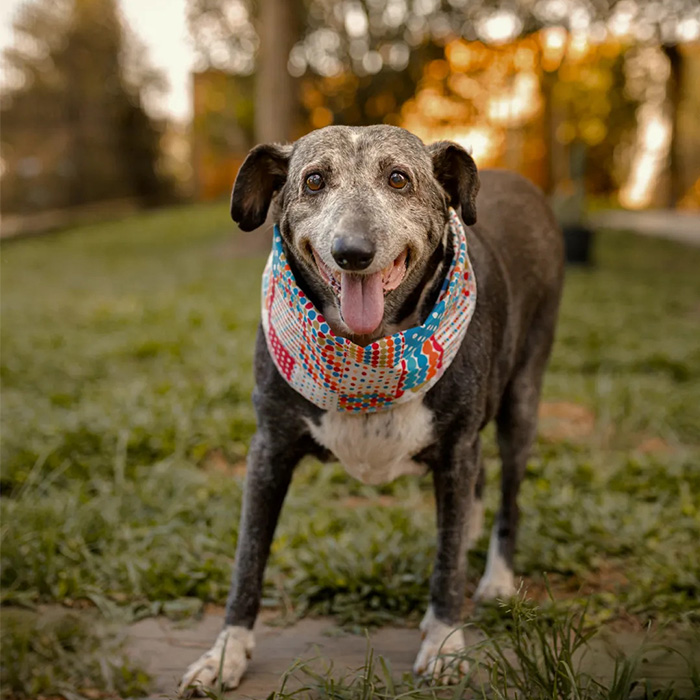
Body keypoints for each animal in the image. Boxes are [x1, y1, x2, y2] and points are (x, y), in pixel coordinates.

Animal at [179, 123, 564, 692]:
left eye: (398, 179)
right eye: (314, 180)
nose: (352, 251)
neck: (367, 352)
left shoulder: (457, 447)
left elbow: (447, 565)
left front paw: (445, 642)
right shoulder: (268, 450)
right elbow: (248, 559)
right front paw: (226, 654)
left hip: (523, 401)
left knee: (508, 497)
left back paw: (495, 580)